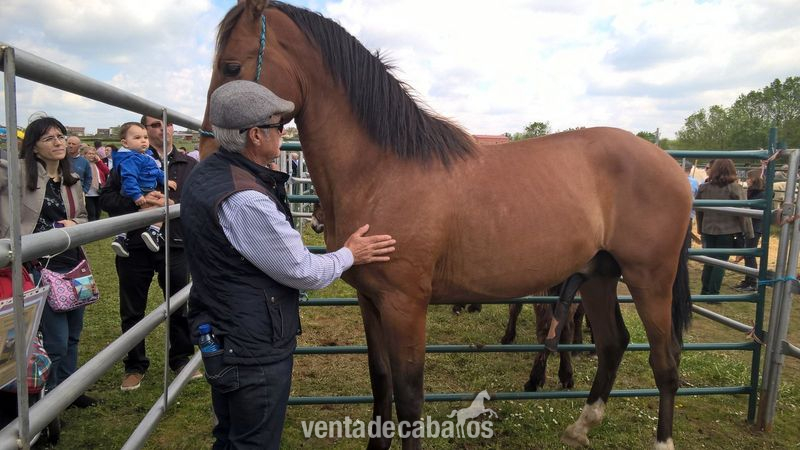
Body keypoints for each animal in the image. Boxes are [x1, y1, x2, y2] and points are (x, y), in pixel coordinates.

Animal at [202, 2, 692, 449]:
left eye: (232, 66)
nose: (208, 149)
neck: (382, 172)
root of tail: (669, 164)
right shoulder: (370, 302)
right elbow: (381, 383)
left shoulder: (405, 305)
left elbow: (409, 396)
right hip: (599, 275)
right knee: (613, 344)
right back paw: (580, 427)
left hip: (649, 278)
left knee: (665, 360)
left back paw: (661, 439)